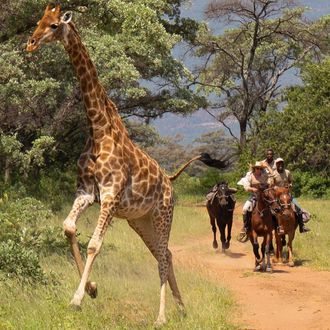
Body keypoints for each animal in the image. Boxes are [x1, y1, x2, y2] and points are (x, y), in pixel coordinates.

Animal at [26, 4, 227, 324]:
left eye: (55, 25)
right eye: (38, 21)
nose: (30, 43)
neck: (98, 129)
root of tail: (170, 180)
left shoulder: (110, 195)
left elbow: (94, 244)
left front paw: (77, 299)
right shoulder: (87, 192)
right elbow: (68, 227)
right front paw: (92, 289)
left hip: (163, 214)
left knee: (163, 256)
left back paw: (161, 317)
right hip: (139, 220)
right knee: (166, 254)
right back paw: (181, 308)